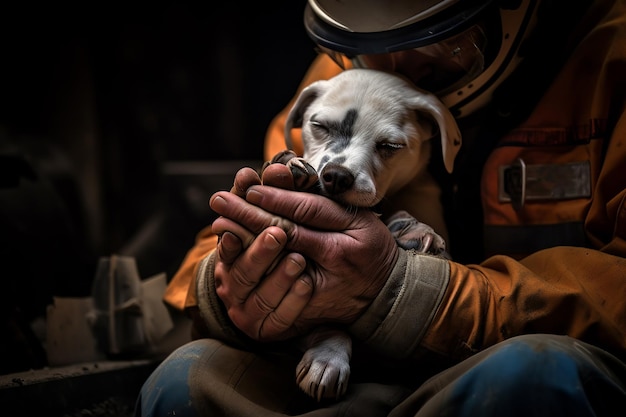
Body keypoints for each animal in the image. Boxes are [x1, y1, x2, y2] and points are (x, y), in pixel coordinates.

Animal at [260, 67, 460, 400]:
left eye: (391, 146)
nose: (336, 177)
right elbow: (326, 325)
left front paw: (413, 229)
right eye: (319, 125)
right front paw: (328, 357)